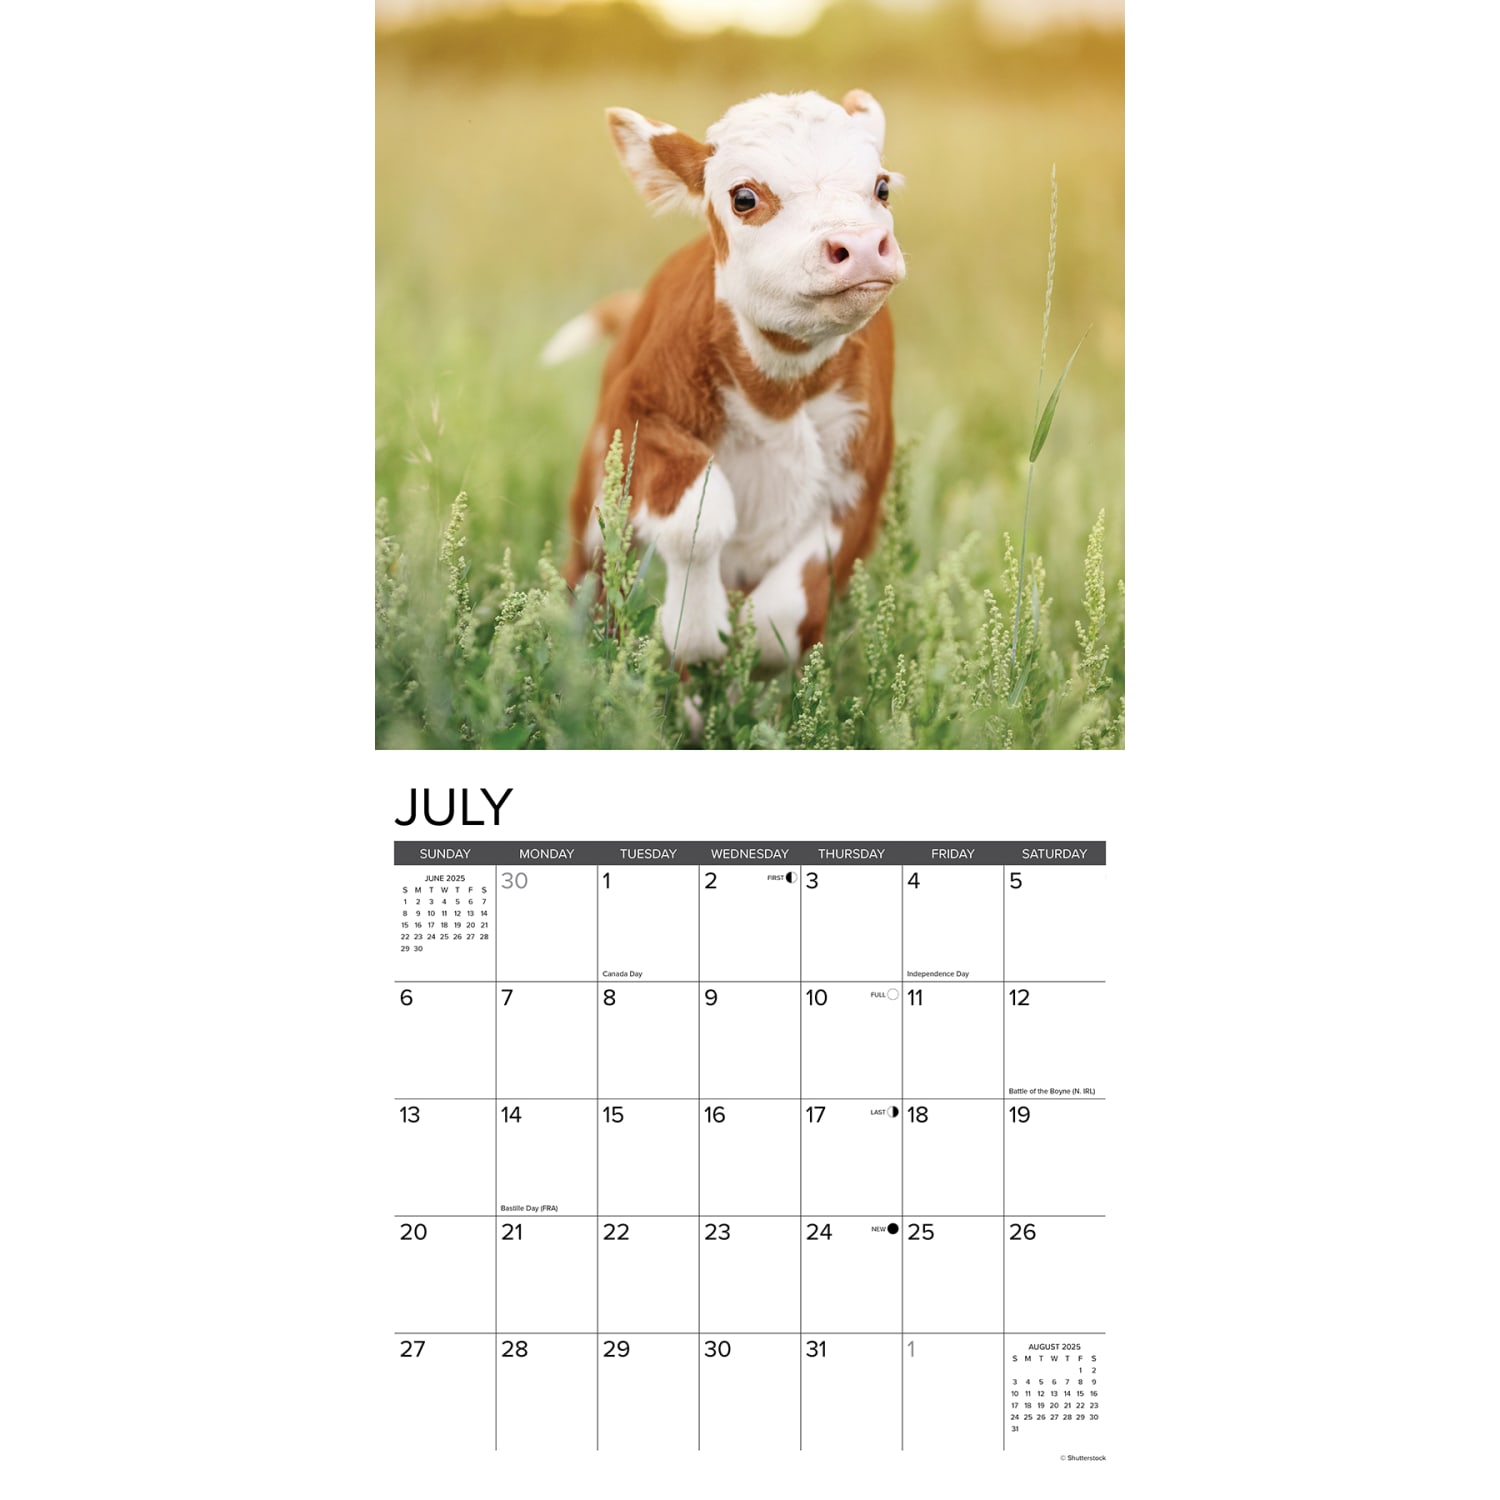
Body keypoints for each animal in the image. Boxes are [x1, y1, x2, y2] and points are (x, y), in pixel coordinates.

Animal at [543, 90, 906, 667]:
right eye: (744, 197)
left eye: (882, 187)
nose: (864, 245)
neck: (777, 392)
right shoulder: (636, 411)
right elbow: (700, 515)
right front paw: (693, 628)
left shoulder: (862, 482)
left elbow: (787, 607)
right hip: (596, 485)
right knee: (593, 572)